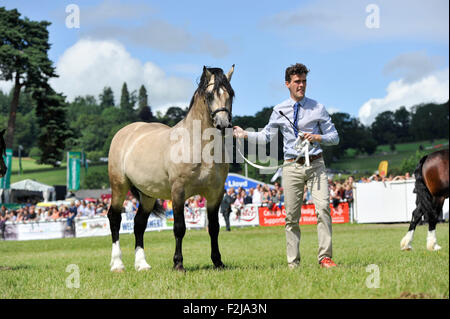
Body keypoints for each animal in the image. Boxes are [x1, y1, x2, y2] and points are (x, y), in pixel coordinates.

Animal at [107, 65, 234, 272]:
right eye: (209, 95)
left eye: (230, 93)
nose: (223, 124)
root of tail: (126, 132)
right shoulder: (178, 192)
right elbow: (179, 228)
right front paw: (178, 263)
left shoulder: (215, 193)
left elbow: (214, 228)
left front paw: (218, 262)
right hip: (119, 186)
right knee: (114, 218)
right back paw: (117, 263)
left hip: (147, 194)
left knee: (139, 224)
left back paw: (142, 264)